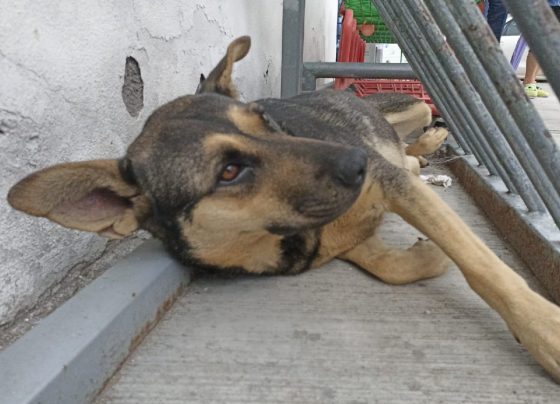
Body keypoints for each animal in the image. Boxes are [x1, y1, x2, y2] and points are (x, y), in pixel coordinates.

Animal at [7, 36, 560, 382]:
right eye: (229, 171)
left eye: (263, 120)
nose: (359, 161)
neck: (282, 234)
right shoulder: (338, 233)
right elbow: (384, 262)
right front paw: (421, 256)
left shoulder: (393, 186)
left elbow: (482, 265)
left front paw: (544, 330)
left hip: (416, 110)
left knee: (420, 144)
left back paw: (430, 155)